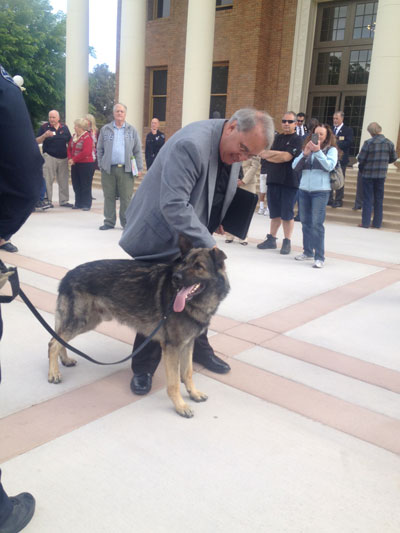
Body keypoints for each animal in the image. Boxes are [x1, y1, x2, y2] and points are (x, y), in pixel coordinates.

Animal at [48, 236, 230, 416]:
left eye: (198, 266)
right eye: (184, 263)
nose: (176, 278)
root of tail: (68, 274)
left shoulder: (187, 344)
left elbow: (188, 372)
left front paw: (194, 393)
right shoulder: (172, 348)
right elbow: (174, 383)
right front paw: (180, 405)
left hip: (87, 322)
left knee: (58, 339)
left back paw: (64, 361)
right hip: (80, 321)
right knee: (53, 343)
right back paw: (53, 373)